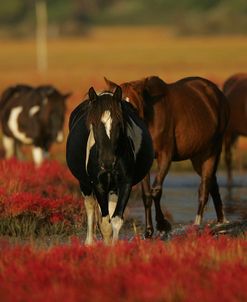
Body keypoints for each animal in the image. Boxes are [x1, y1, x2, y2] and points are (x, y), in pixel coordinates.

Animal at [65, 86, 154, 244]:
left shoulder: (125, 183)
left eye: (119, 123)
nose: (107, 162)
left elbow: (116, 220)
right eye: (93, 124)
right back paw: (89, 243)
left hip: (113, 188)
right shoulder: (98, 184)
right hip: (85, 184)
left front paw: (114, 247)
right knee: (90, 207)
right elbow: (105, 224)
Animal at [105, 76, 229, 238]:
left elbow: (156, 190)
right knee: (212, 184)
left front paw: (163, 225)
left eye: (133, 108)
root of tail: (217, 94)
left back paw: (197, 224)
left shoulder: (165, 156)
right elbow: (146, 195)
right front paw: (148, 231)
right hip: (198, 156)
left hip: (212, 151)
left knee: (204, 187)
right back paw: (221, 222)